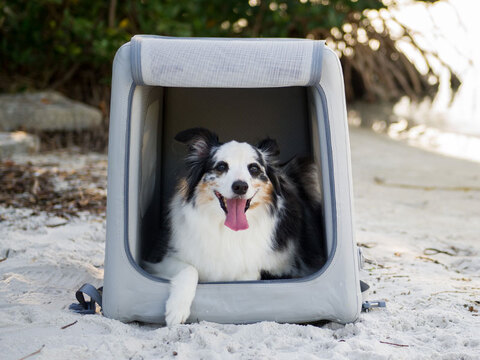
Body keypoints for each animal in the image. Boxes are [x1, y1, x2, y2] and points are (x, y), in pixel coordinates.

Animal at [143, 128, 326, 324]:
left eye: (253, 168)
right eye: (221, 166)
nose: (240, 186)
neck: (227, 230)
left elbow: (250, 274)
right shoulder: (163, 260)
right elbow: (190, 269)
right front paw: (176, 309)